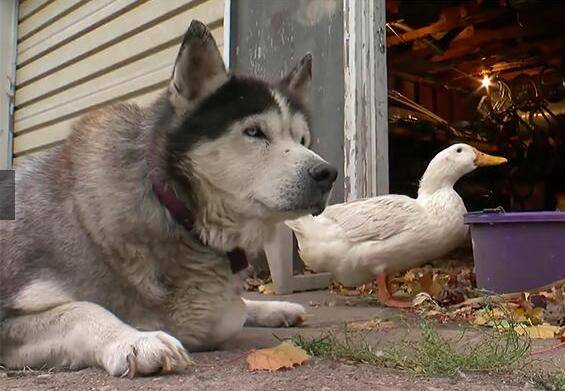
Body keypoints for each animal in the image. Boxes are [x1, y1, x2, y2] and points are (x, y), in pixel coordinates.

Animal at [0, 20, 334, 376]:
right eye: (255, 132)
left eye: (303, 140)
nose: (328, 174)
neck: (170, 206)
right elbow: (82, 309)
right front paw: (135, 339)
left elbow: (230, 313)